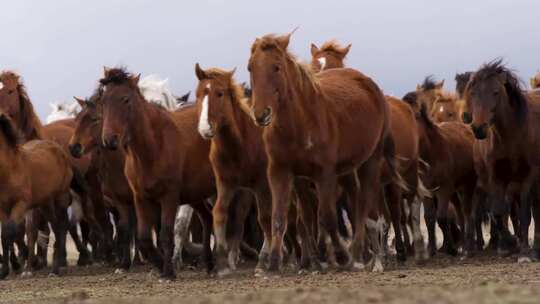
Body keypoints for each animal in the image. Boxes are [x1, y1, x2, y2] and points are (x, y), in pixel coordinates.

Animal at [462, 60, 540, 262]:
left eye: (496, 92)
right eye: (473, 92)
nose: (478, 128)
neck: (511, 136)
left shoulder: (528, 177)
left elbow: (524, 214)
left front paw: (524, 252)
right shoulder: (496, 177)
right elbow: (498, 212)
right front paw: (508, 244)